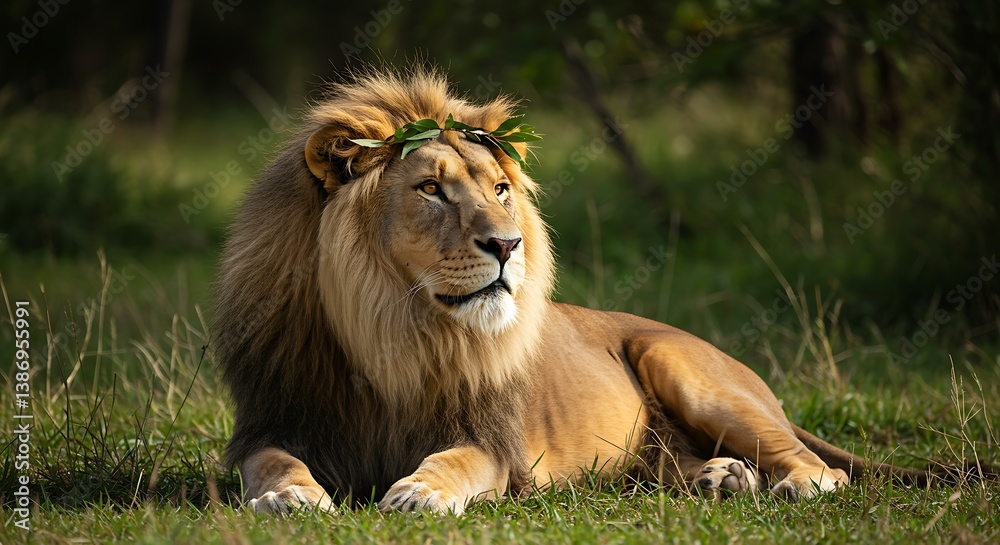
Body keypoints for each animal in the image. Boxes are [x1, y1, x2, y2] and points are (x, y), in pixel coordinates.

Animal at [213, 66, 935, 514]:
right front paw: (290, 495)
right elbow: (272, 461)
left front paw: (419, 490)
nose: (508, 245)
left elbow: (455, 460)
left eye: (499, 188)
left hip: (686, 369)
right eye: (431, 189)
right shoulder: (272, 419)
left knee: (819, 466)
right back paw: (722, 477)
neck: (390, 327)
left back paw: (786, 483)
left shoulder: (493, 443)